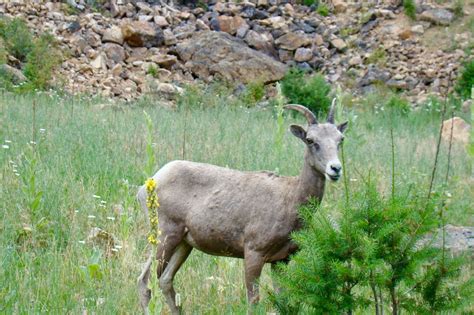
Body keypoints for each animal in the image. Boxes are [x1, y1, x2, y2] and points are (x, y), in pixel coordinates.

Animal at [137, 103, 348, 314]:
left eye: (340, 139)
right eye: (310, 140)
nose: (335, 168)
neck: (292, 203)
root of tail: (145, 186)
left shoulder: (282, 259)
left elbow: (282, 301)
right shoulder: (254, 250)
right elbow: (253, 300)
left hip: (185, 242)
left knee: (165, 280)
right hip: (165, 234)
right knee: (145, 281)